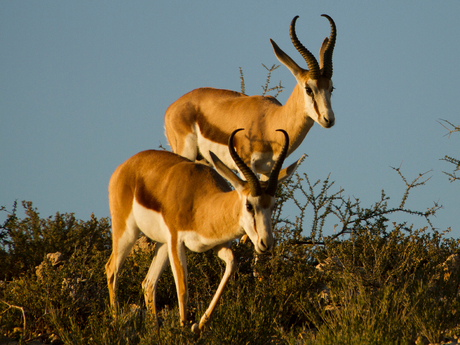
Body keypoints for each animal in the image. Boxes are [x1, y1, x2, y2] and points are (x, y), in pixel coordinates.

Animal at [106, 129, 304, 334]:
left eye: (273, 206)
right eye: (249, 205)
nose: (266, 243)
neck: (201, 203)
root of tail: (125, 166)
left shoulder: (217, 245)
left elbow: (231, 264)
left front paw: (200, 324)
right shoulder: (177, 242)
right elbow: (183, 288)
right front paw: (184, 329)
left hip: (162, 245)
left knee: (148, 283)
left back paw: (157, 330)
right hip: (128, 233)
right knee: (112, 269)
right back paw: (117, 323)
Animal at [164, 14, 336, 179]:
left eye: (331, 88)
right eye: (308, 89)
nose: (328, 119)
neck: (270, 122)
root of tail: (172, 108)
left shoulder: (269, 170)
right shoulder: (246, 164)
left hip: (203, 161)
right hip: (187, 153)